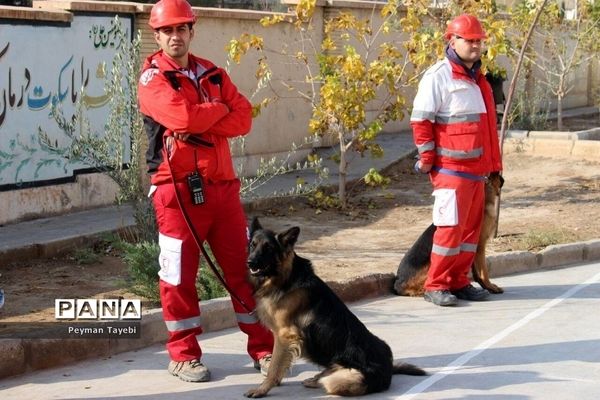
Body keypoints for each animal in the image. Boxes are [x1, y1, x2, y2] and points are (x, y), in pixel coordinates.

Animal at [245, 217, 426, 398]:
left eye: (268, 248)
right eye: (253, 245)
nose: (250, 262)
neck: (284, 277)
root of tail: (388, 371)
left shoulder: (285, 335)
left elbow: (274, 367)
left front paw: (262, 389)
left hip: (338, 380)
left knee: (330, 381)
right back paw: (315, 378)